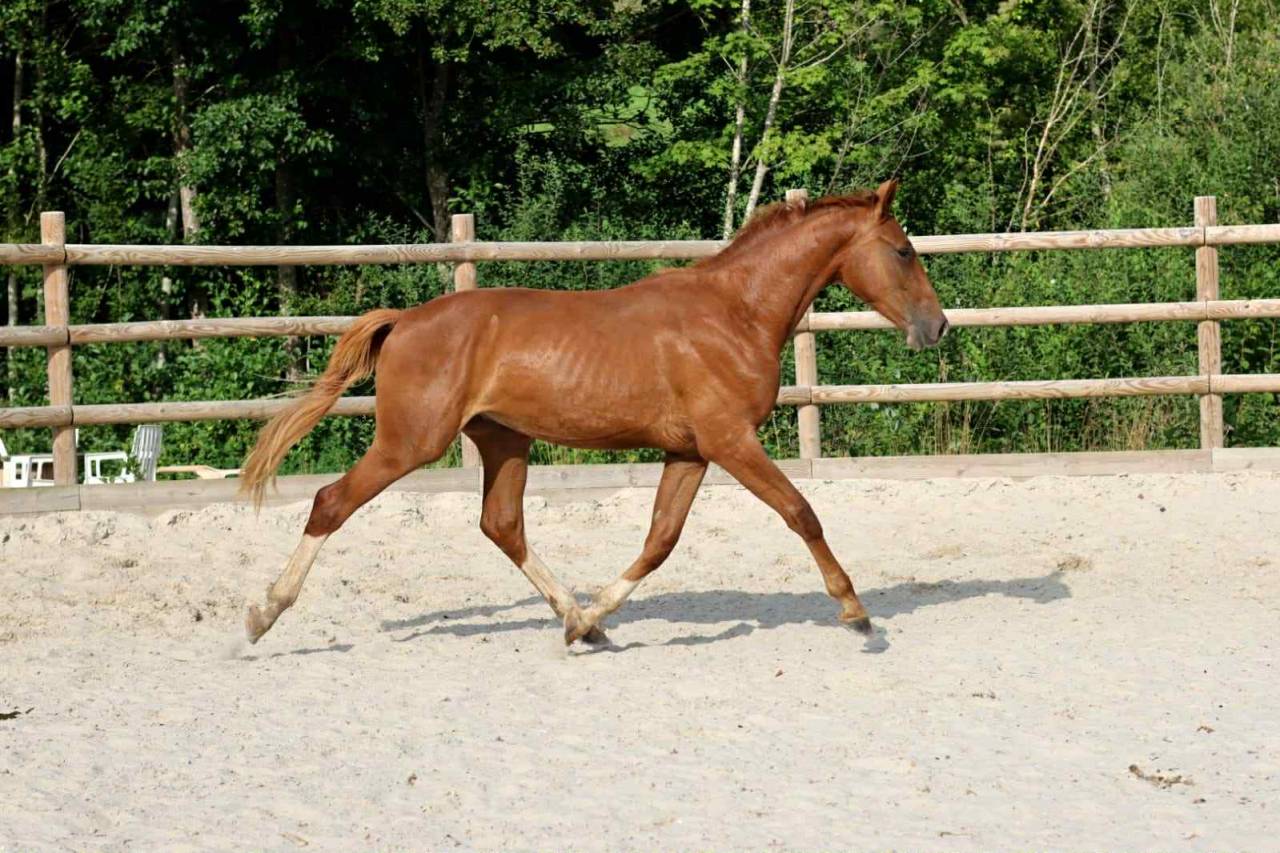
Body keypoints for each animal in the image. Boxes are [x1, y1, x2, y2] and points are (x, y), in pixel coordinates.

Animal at [239, 179, 948, 648]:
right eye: (903, 251)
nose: (937, 327)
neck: (733, 314)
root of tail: (405, 320)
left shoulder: (690, 450)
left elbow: (660, 540)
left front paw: (597, 614)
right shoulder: (730, 440)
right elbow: (801, 512)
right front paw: (856, 611)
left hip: (503, 441)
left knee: (502, 526)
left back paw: (576, 620)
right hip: (411, 442)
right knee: (331, 502)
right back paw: (263, 614)